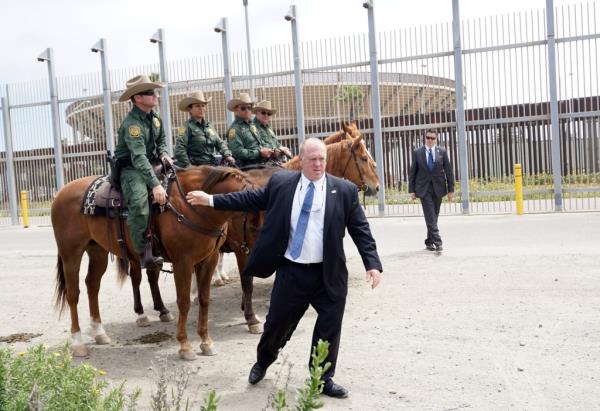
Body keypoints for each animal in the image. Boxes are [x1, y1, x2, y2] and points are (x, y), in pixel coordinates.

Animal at [52, 166, 256, 358]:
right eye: (254, 223)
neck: (191, 207)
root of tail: (62, 192)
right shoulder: (183, 262)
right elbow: (184, 301)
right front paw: (185, 345)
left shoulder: (208, 260)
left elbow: (204, 300)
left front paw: (206, 342)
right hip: (71, 254)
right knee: (73, 294)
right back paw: (78, 342)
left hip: (97, 251)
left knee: (92, 285)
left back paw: (99, 332)